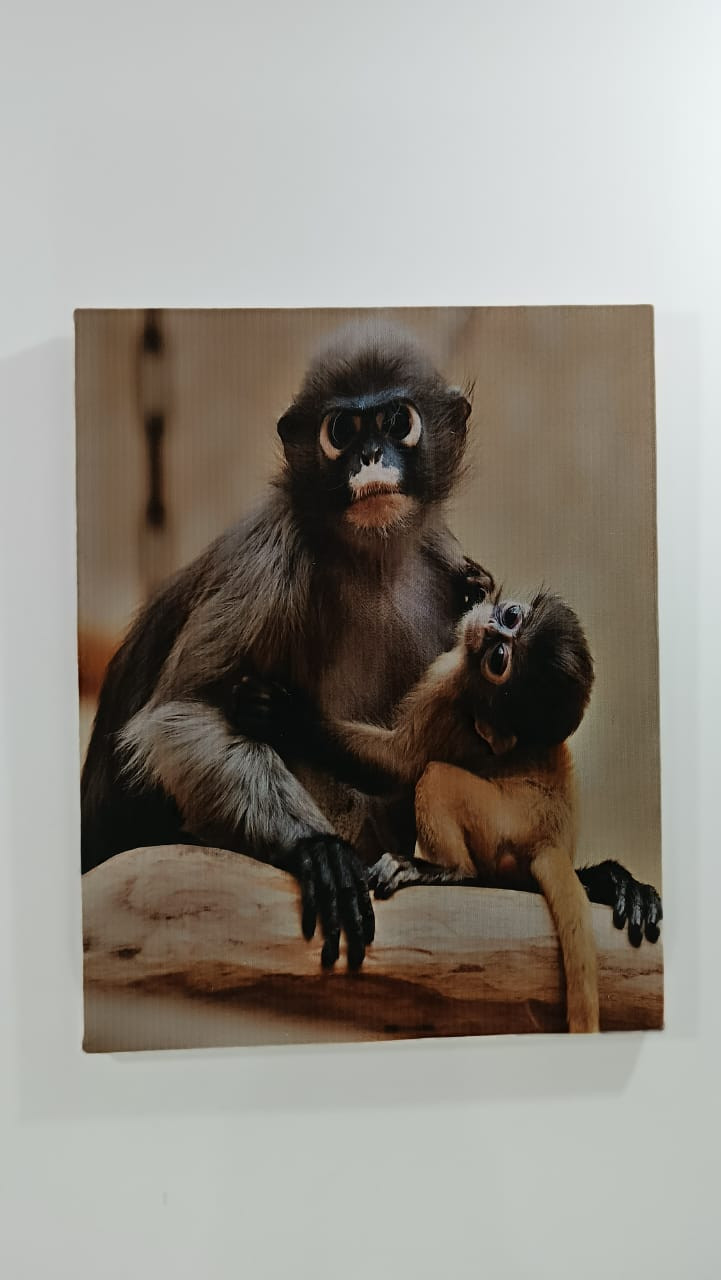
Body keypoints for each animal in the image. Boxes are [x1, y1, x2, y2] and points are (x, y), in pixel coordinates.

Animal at [82, 322, 661, 971]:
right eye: (342, 431)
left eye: (396, 421)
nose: (370, 457)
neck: (372, 559)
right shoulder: (269, 555)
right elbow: (182, 714)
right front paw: (317, 849)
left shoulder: (445, 565)